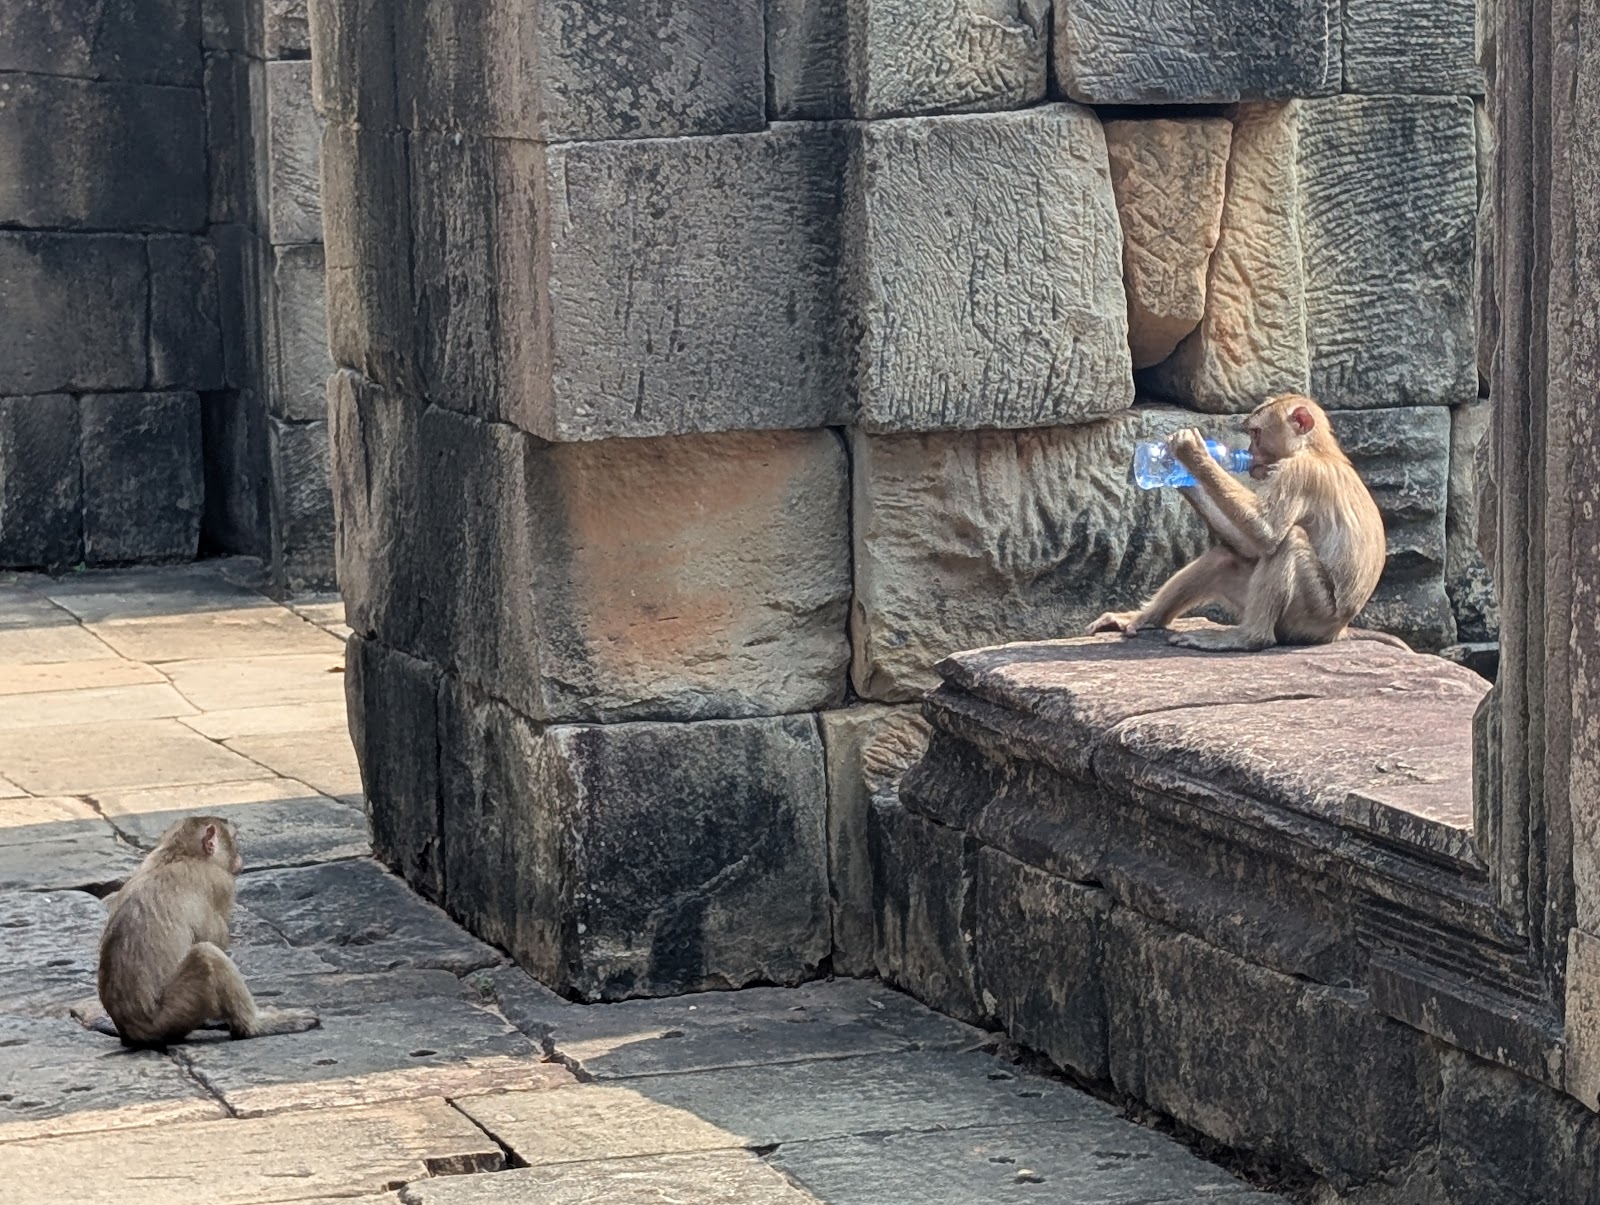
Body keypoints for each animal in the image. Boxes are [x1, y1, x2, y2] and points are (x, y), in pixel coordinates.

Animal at [96, 816, 319, 1047]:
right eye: (234, 839)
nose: (240, 858)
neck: (179, 852)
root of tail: (132, 1032)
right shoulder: (222, 882)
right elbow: (214, 940)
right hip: (172, 1013)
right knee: (206, 955)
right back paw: (255, 1025)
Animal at [1087, 393, 1387, 652]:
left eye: (1256, 434)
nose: (1248, 452)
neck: (1314, 449)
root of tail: (1338, 630)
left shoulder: (1298, 473)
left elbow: (1267, 535)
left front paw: (1190, 453)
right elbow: (1249, 546)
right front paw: (1180, 476)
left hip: (1312, 615)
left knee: (1290, 541)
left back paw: (1249, 638)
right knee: (1226, 557)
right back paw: (1145, 619)